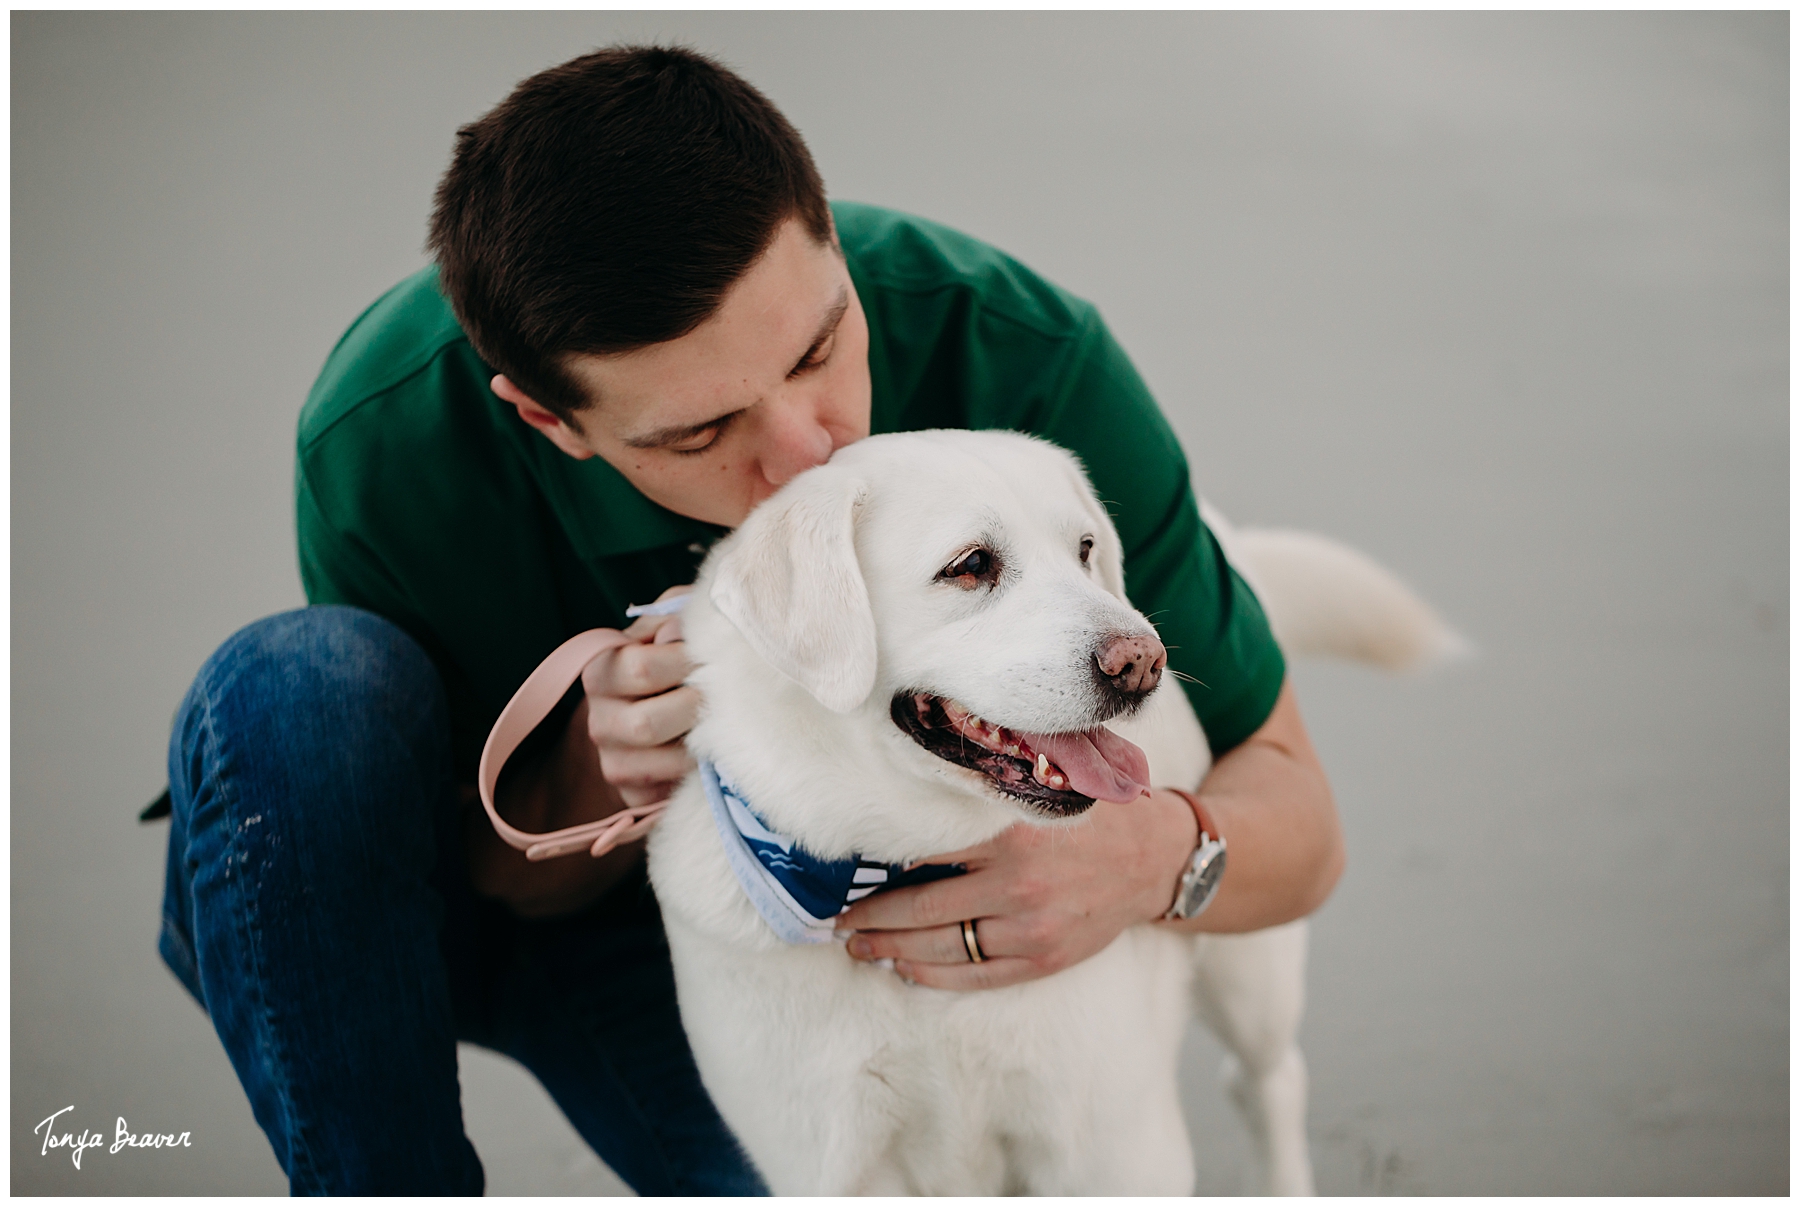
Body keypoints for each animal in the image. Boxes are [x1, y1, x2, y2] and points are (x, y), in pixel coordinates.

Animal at [640, 429, 1454, 1194]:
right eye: (970, 565)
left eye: (1085, 549)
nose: (1144, 662)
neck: (899, 863)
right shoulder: (828, 1163)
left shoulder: (1115, 1153)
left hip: (1251, 961)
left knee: (1269, 1080)